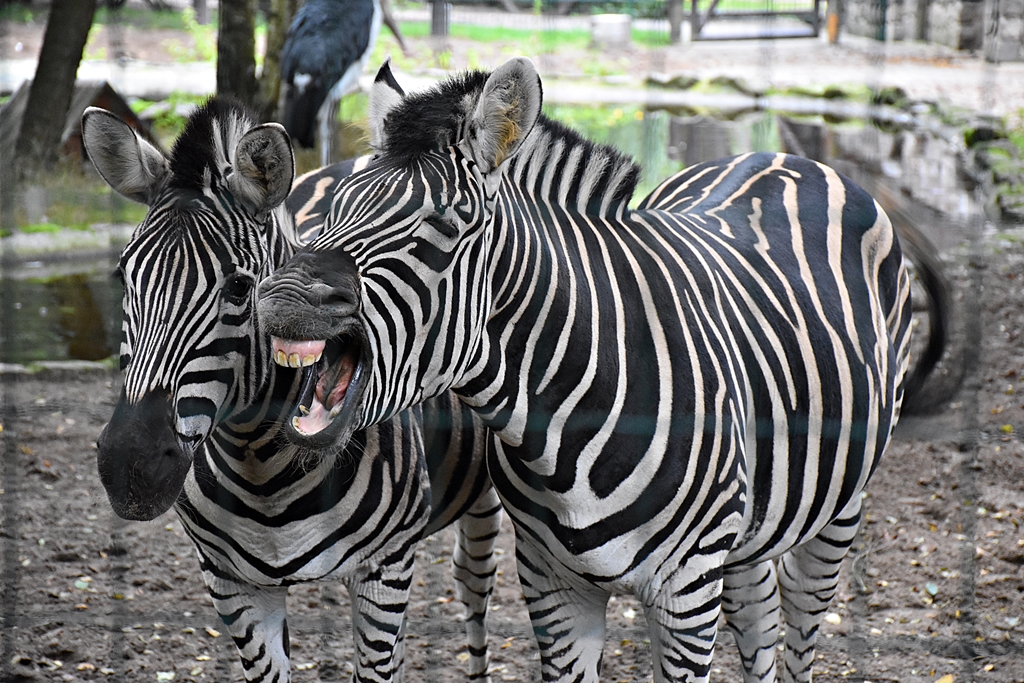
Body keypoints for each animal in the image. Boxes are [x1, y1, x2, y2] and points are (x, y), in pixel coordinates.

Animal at [81, 98, 502, 683]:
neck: (261, 469)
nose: (130, 463)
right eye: (124, 277)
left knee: (473, 583)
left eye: (239, 287)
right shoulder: (231, 582)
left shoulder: (386, 568)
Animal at [256, 59, 948, 682]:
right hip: (749, 526)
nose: (279, 297)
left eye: (443, 226)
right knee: (760, 621)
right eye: (335, 205)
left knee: (800, 631)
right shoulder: (552, 584)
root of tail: (785, 156)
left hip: (839, 508)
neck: (558, 431)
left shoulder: (688, 593)